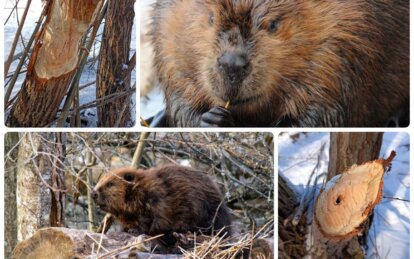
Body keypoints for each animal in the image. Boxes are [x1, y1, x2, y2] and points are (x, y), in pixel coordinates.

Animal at [92, 166, 231, 245]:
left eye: (110, 184)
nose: (93, 193)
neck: (140, 188)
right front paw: (127, 229)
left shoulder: (158, 198)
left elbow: (155, 219)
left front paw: (135, 230)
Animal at [150, 0, 410, 128]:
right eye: (211, 18)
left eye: (273, 24)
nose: (232, 65)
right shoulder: (166, 41)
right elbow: (181, 101)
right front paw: (211, 119)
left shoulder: (345, 49)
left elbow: (323, 112)